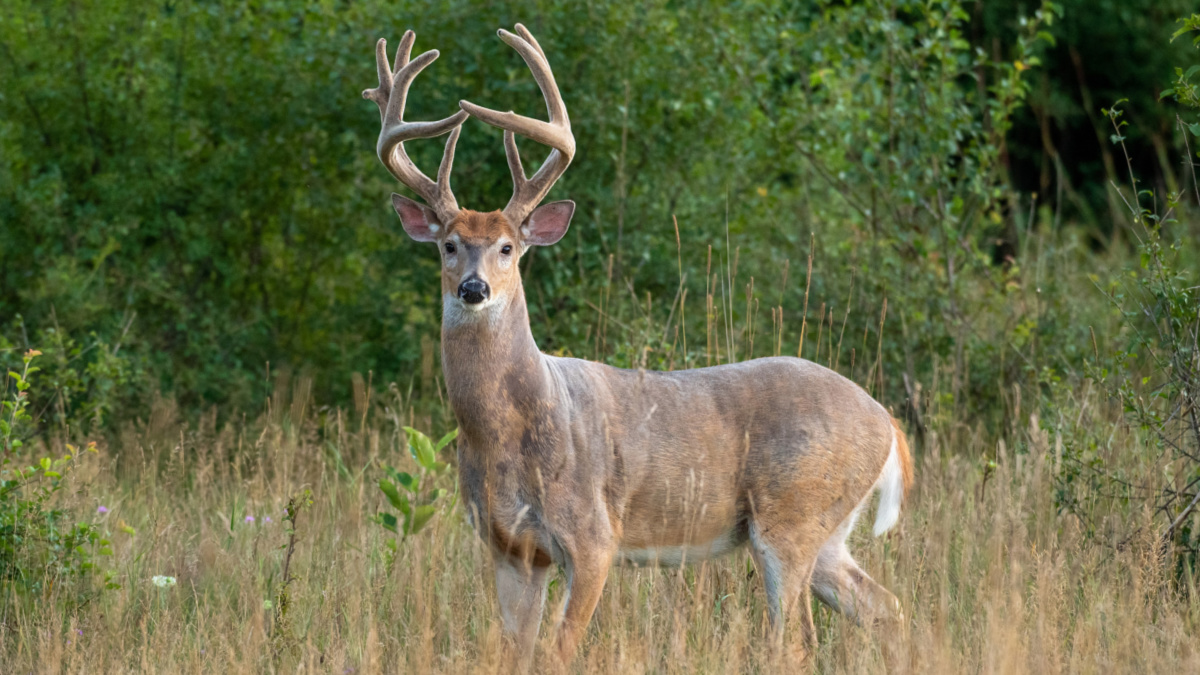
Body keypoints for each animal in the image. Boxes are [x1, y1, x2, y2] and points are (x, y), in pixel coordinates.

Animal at [360, 24, 912, 667]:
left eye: (507, 247)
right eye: (448, 245)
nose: (474, 289)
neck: (508, 432)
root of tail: (886, 422)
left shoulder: (595, 535)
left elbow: (558, 652)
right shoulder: (509, 548)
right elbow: (516, 653)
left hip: (792, 514)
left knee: (798, 637)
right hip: (827, 534)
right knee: (884, 607)